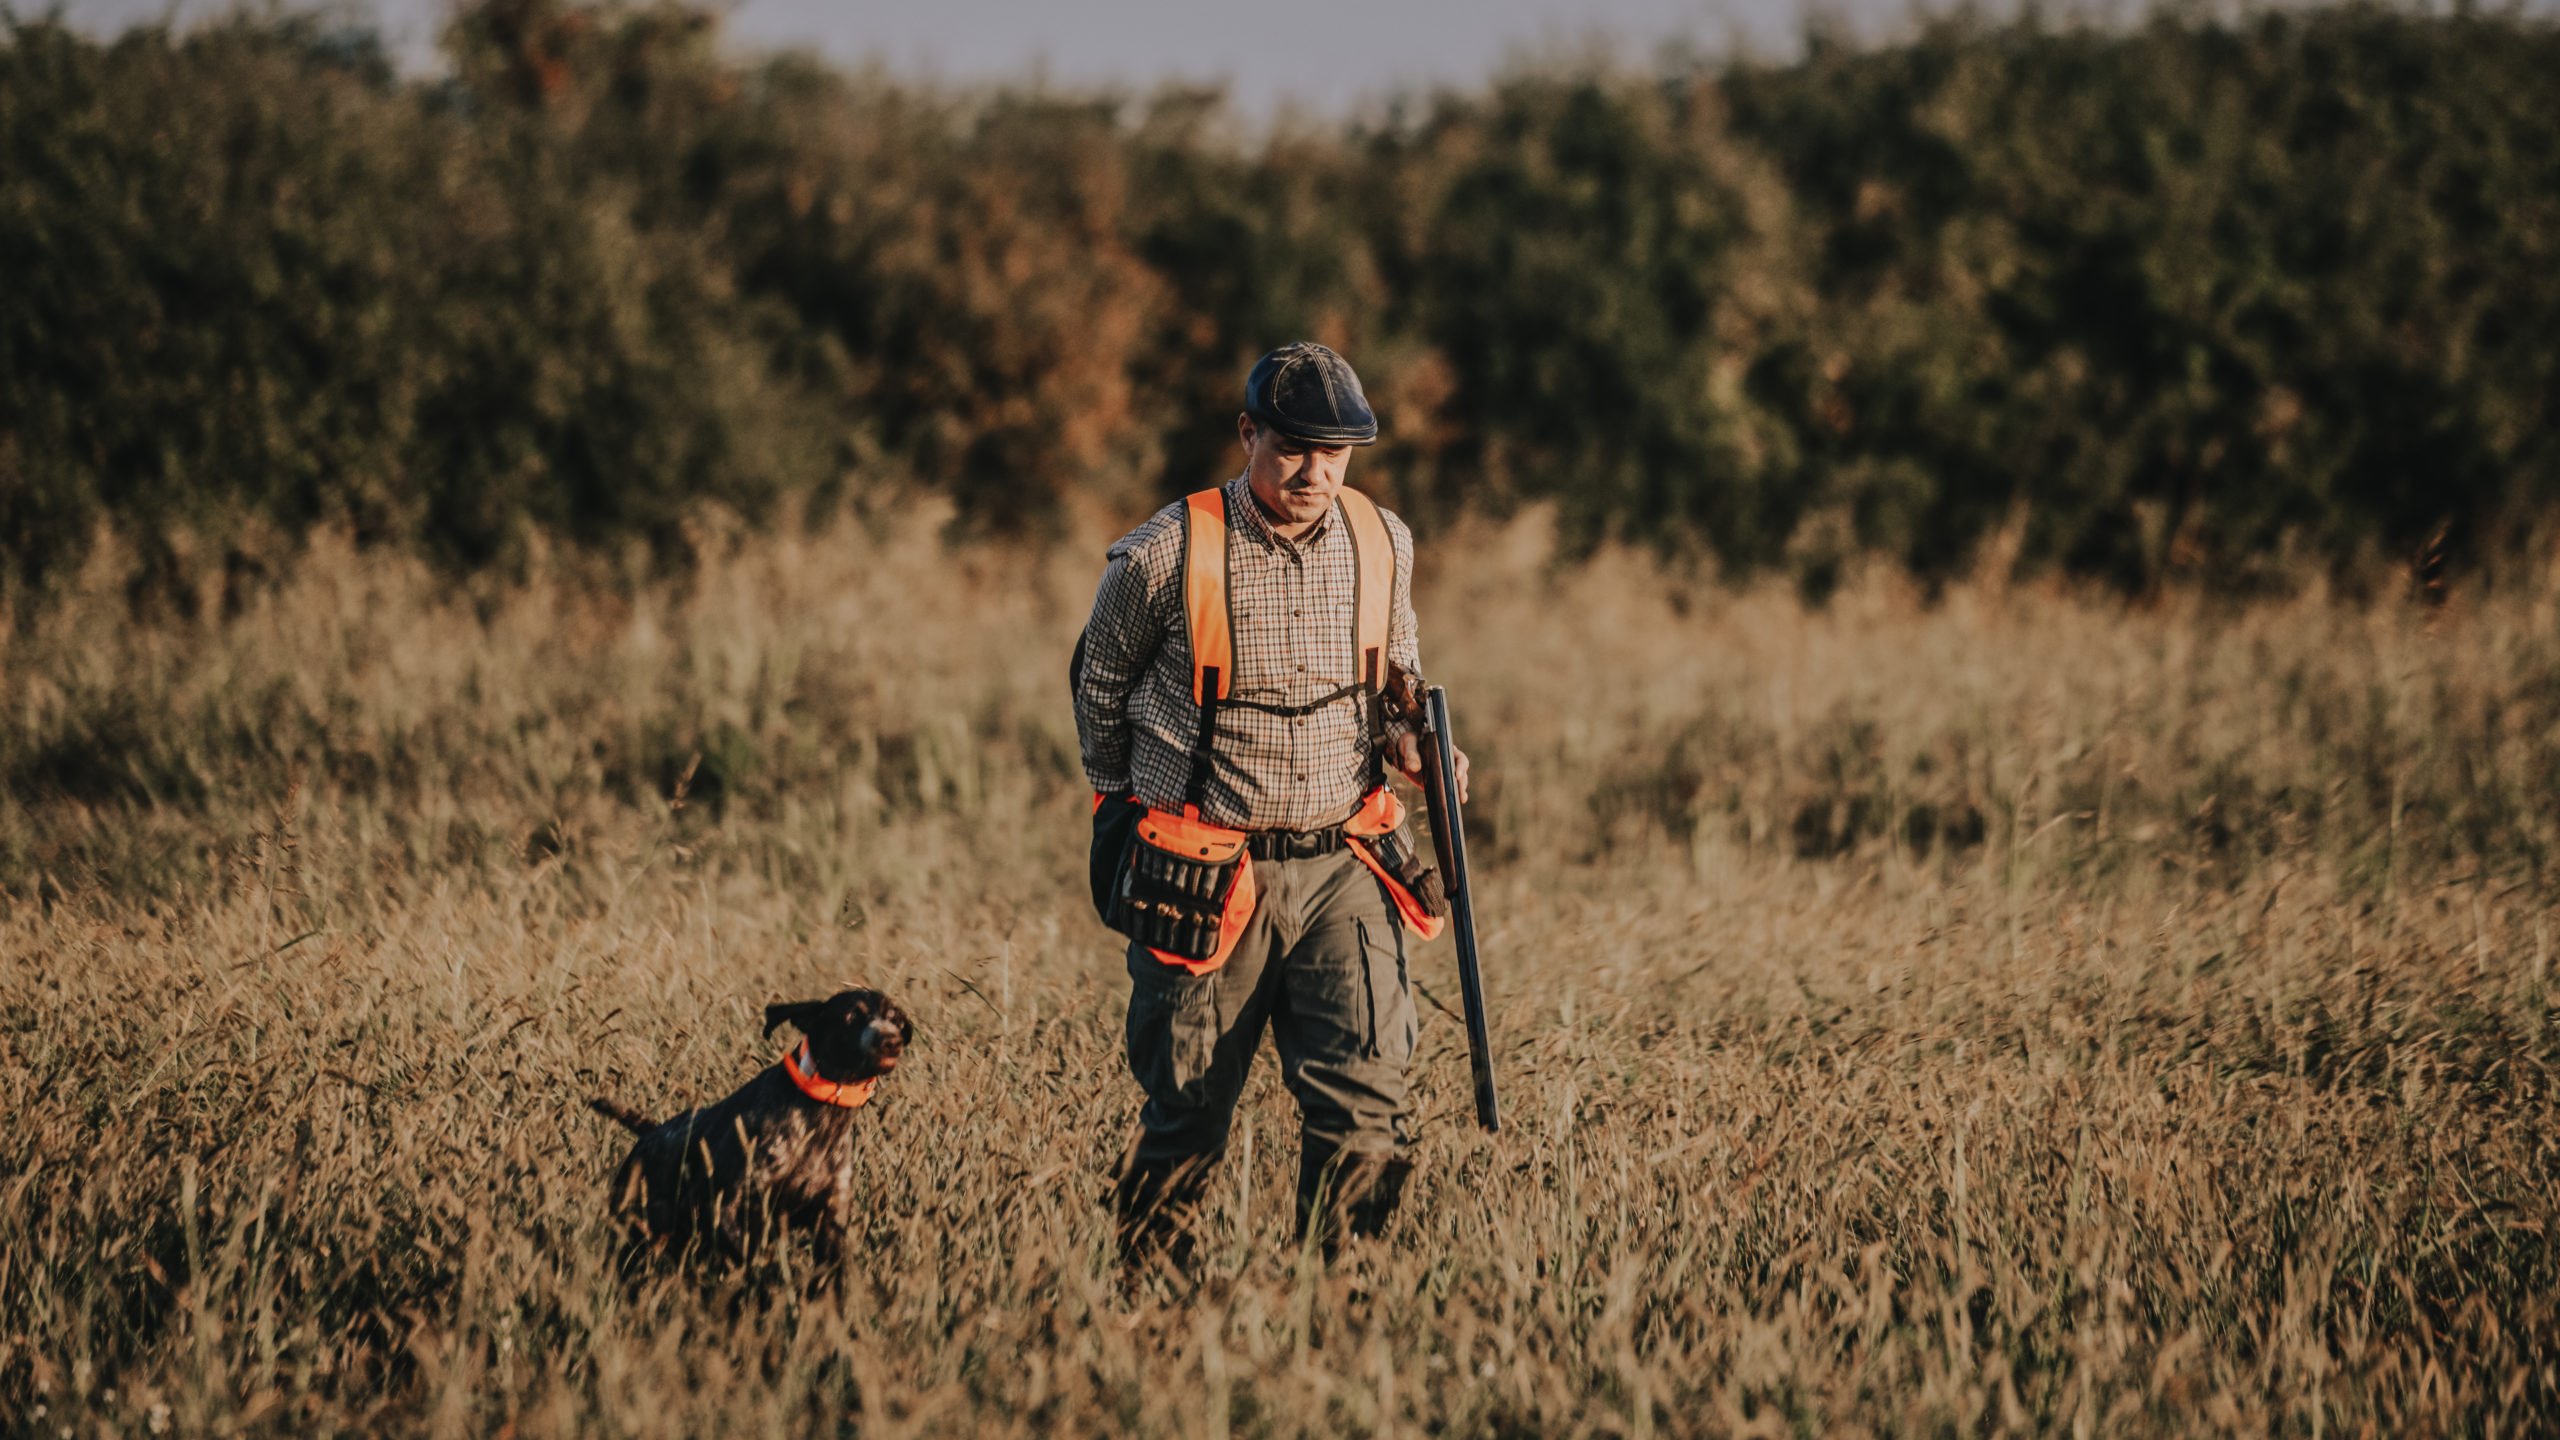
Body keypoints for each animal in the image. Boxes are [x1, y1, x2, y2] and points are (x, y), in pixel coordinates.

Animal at [593, 978, 916, 1250]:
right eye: (851, 1016)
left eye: (896, 1020)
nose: (891, 1041)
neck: (820, 1121)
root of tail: (651, 1132)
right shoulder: (725, 1208)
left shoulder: (831, 1224)